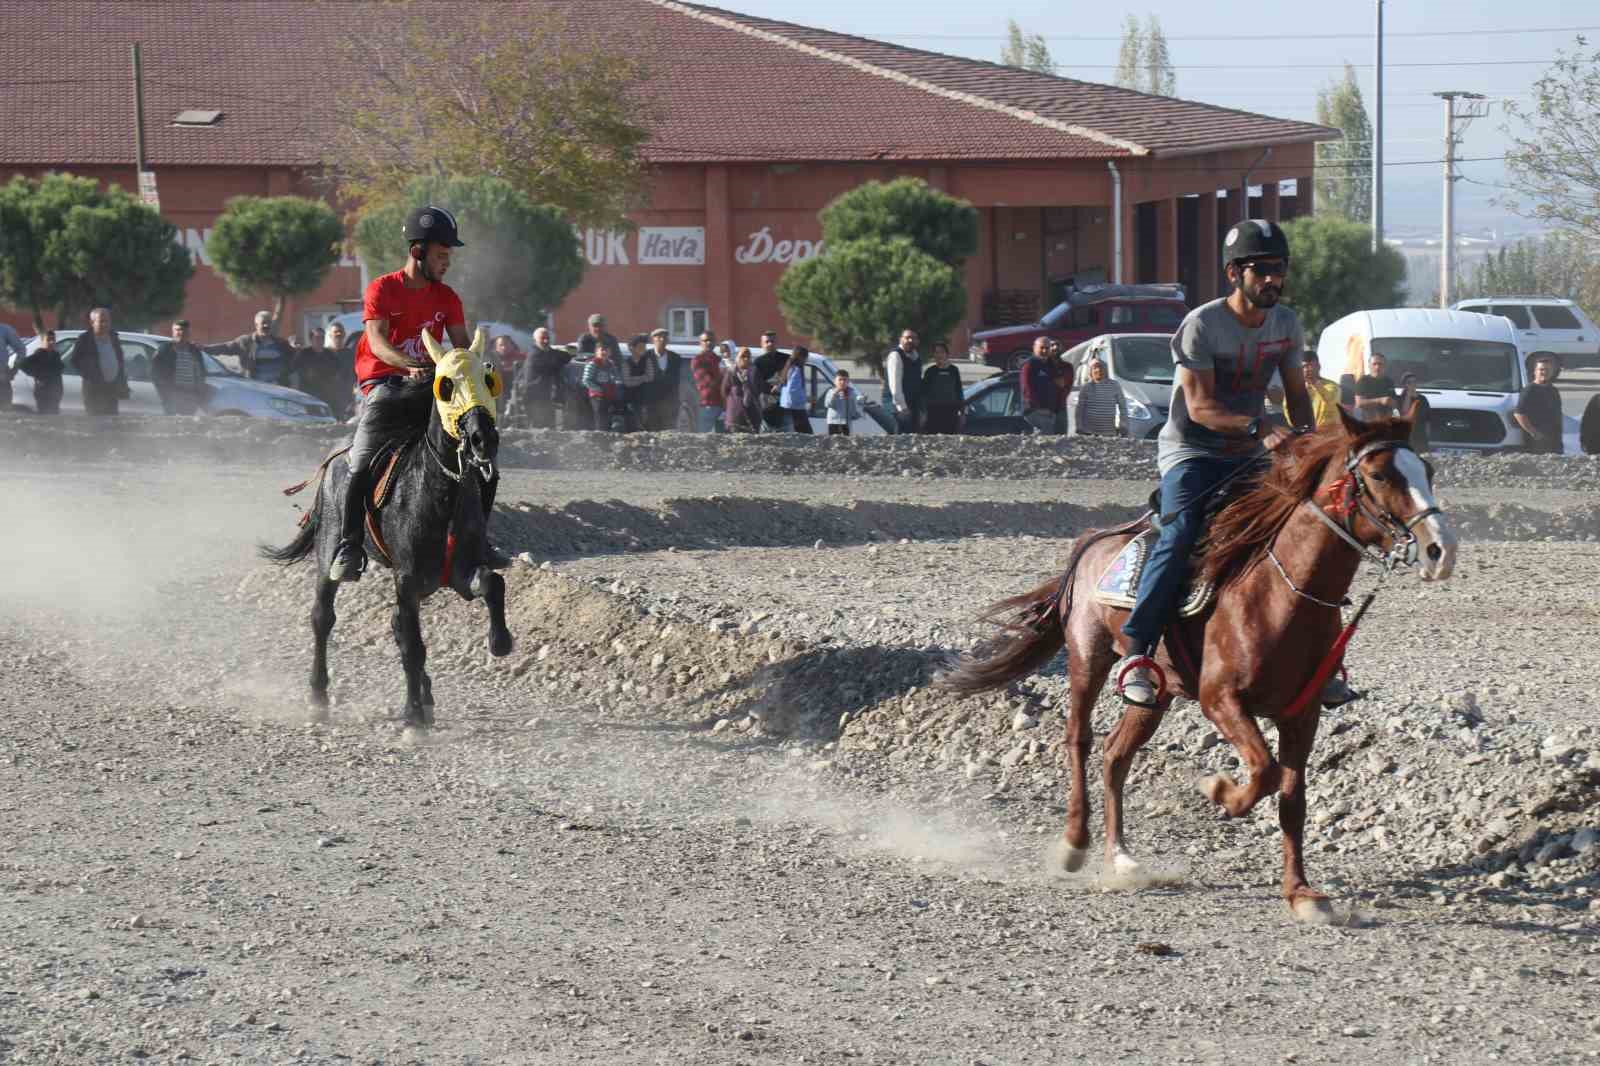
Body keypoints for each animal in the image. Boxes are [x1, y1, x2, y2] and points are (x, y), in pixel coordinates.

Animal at [940, 403, 1459, 915]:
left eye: (1428, 470)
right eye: (1379, 474)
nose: (1441, 551)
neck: (1281, 593)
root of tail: (1094, 541)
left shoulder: (1302, 713)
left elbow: (1292, 798)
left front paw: (1301, 892)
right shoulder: (1220, 699)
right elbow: (1265, 771)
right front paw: (1219, 792)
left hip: (1155, 692)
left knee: (1115, 754)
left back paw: (1121, 858)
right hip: (1088, 655)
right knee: (1079, 740)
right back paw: (1074, 843)